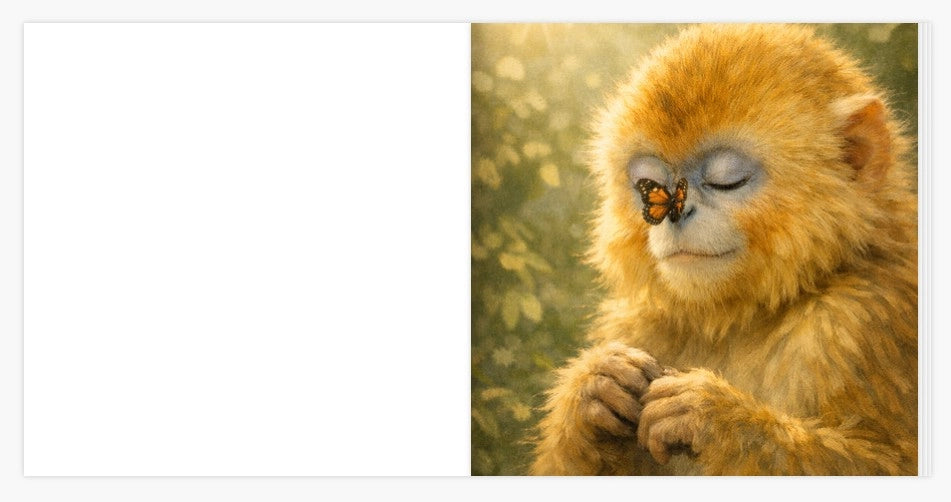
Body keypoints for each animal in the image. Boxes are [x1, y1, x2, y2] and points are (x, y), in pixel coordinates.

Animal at [531, 24, 918, 476]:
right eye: (651, 184)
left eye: (726, 181)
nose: (675, 213)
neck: (742, 317)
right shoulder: (635, 323)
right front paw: (592, 390)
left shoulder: (860, 317)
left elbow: (885, 462)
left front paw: (712, 419)